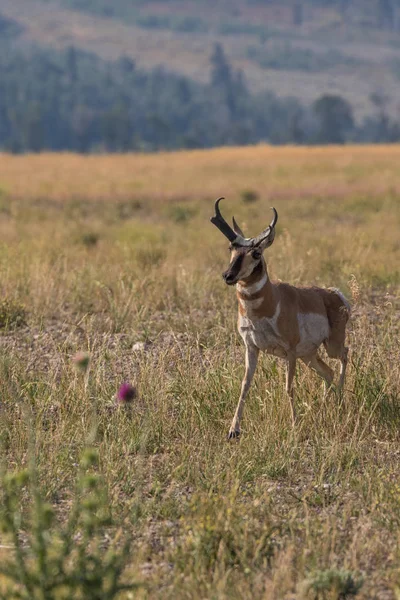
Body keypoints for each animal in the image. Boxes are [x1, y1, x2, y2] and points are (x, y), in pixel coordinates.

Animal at [211, 199, 348, 438]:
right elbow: (245, 385)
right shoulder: (251, 348)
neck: (270, 302)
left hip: (330, 346)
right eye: (231, 248)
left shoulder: (289, 352)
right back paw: (324, 409)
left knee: (344, 355)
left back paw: (338, 403)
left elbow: (288, 387)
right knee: (328, 372)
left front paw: (294, 425)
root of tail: (334, 293)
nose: (228, 275)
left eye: (256, 253)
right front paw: (233, 430)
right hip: (309, 355)